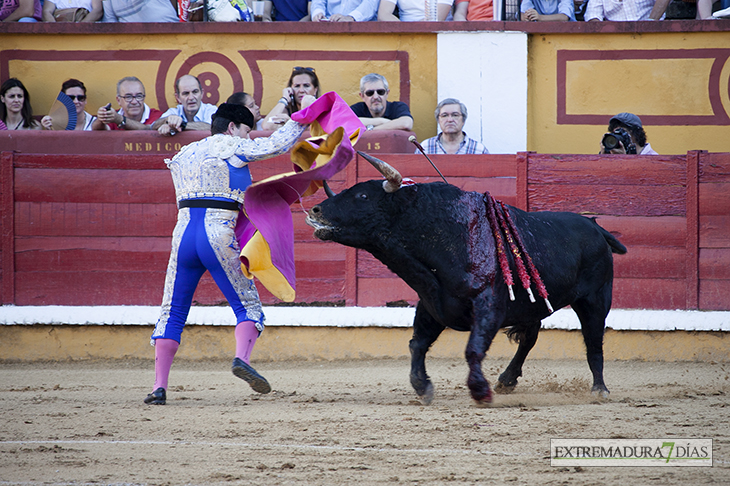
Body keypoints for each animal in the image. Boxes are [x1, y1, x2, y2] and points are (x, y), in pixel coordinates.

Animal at [304, 154, 624, 404]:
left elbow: (473, 349)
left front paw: (480, 391)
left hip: (595, 299)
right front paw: (423, 387)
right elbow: (417, 344)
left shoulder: (489, 306)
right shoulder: (432, 302)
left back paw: (599, 389)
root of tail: (596, 226)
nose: (316, 210)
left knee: (594, 340)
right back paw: (507, 380)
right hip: (534, 303)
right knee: (530, 337)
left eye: (363, 196)